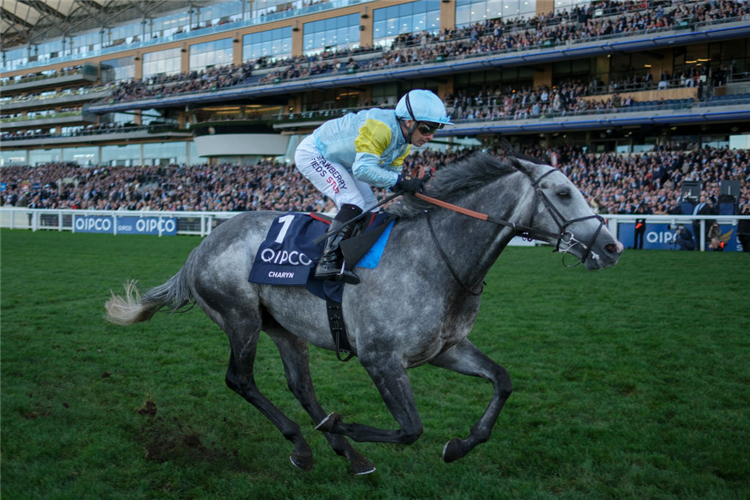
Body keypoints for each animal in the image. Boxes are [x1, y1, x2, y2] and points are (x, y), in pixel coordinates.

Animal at [106, 151, 624, 472]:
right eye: (563, 194)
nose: (613, 247)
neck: (438, 258)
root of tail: (202, 247)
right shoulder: (381, 358)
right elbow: (411, 428)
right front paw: (346, 425)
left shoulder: (446, 348)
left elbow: (503, 380)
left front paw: (459, 446)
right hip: (240, 318)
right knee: (241, 380)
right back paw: (308, 442)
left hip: (284, 327)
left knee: (300, 385)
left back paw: (343, 452)